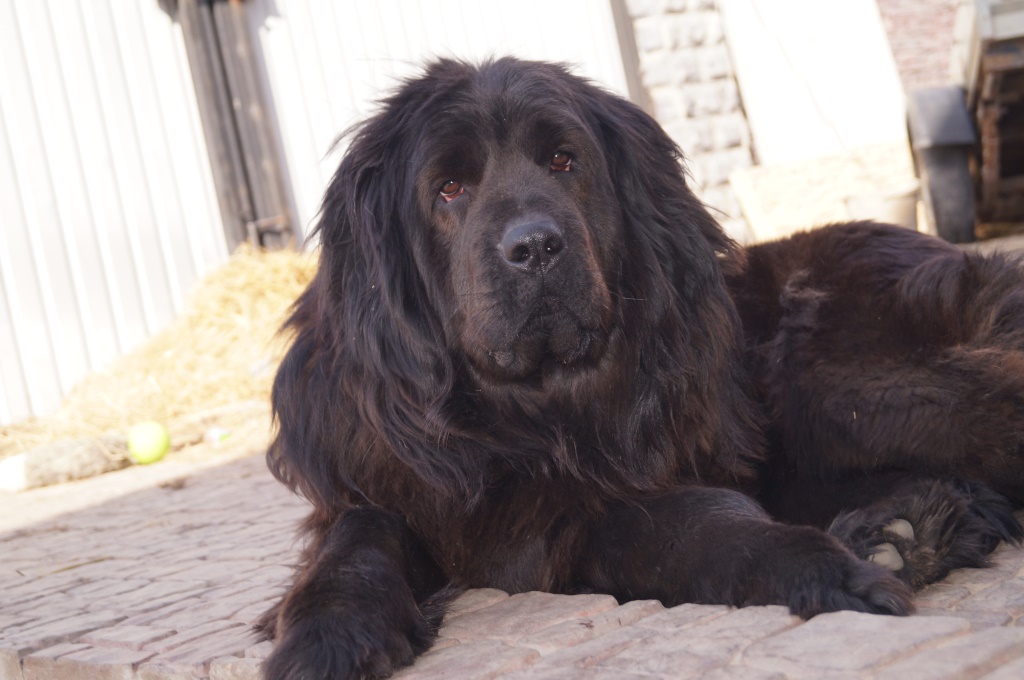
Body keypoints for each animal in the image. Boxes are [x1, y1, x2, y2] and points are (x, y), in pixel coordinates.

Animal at [258, 58, 1023, 679]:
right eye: (448, 189)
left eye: (563, 161)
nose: (534, 246)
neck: (526, 422)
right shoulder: (391, 485)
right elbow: (354, 541)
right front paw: (325, 636)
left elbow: (698, 522)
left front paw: (824, 571)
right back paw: (911, 528)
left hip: (836, 381)